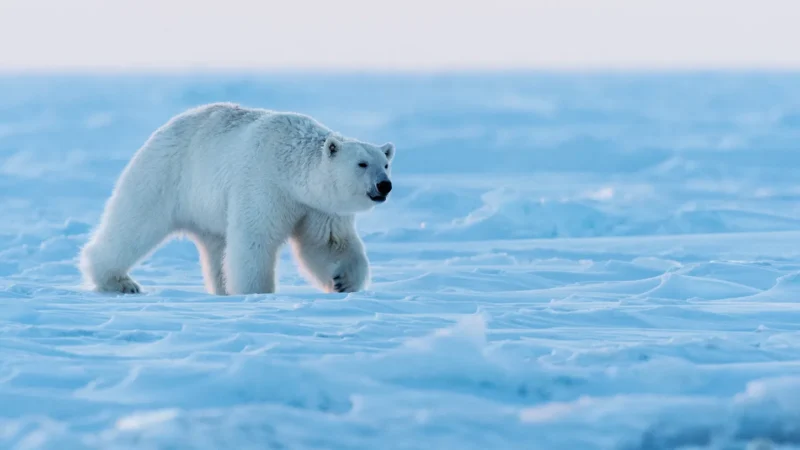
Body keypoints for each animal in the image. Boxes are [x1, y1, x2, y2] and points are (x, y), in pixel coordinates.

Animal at [78, 102, 395, 296]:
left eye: (386, 163)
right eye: (362, 164)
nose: (384, 185)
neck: (289, 166)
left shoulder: (318, 206)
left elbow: (328, 242)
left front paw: (343, 280)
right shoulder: (264, 184)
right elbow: (254, 238)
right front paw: (257, 291)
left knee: (216, 247)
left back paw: (221, 288)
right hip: (164, 176)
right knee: (133, 224)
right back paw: (119, 281)